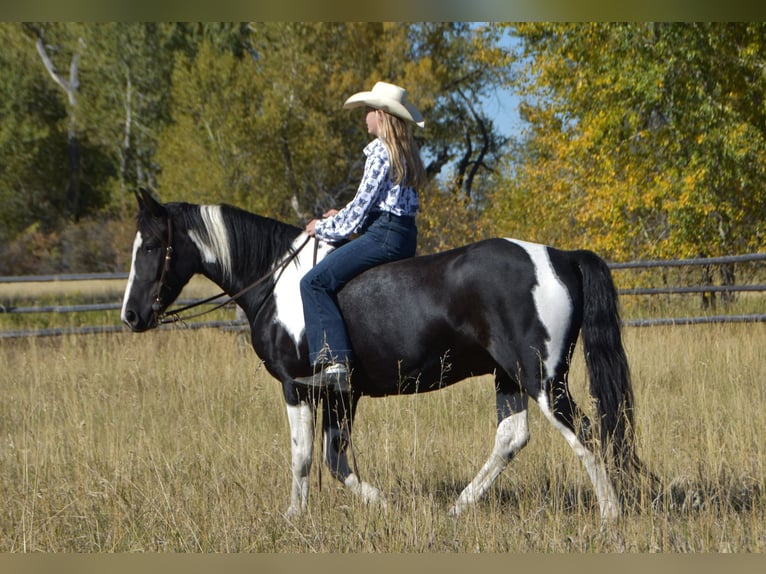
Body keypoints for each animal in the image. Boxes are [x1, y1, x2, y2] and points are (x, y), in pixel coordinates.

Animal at [121, 188, 649, 521]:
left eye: (151, 246)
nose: (130, 316)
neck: (276, 280)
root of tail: (561, 257)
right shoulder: (341, 395)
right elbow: (335, 459)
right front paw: (387, 506)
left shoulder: (296, 386)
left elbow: (303, 455)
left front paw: (293, 516)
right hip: (510, 377)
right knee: (512, 438)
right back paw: (457, 508)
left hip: (541, 377)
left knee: (586, 433)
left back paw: (611, 514)